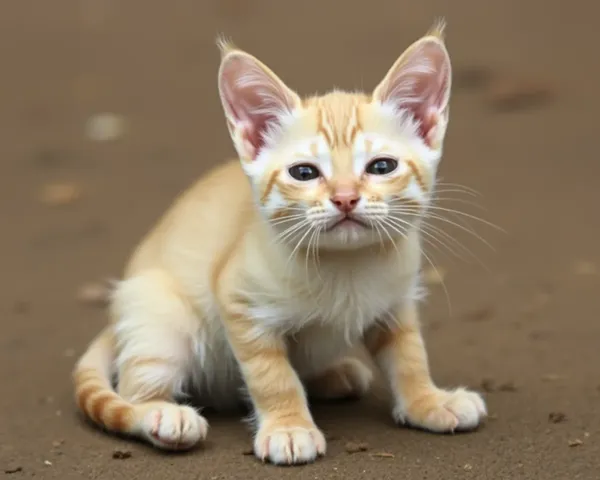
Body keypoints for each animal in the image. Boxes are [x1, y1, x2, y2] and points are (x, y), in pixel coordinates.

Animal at [74, 22, 488, 464]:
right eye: (304, 173)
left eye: (381, 167)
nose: (345, 198)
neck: (346, 266)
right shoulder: (238, 301)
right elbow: (272, 375)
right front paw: (289, 427)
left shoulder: (397, 302)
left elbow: (410, 355)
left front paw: (428, 401)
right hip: (161, 320)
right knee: (131, 391)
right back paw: (162, 414)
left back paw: (334, 375)